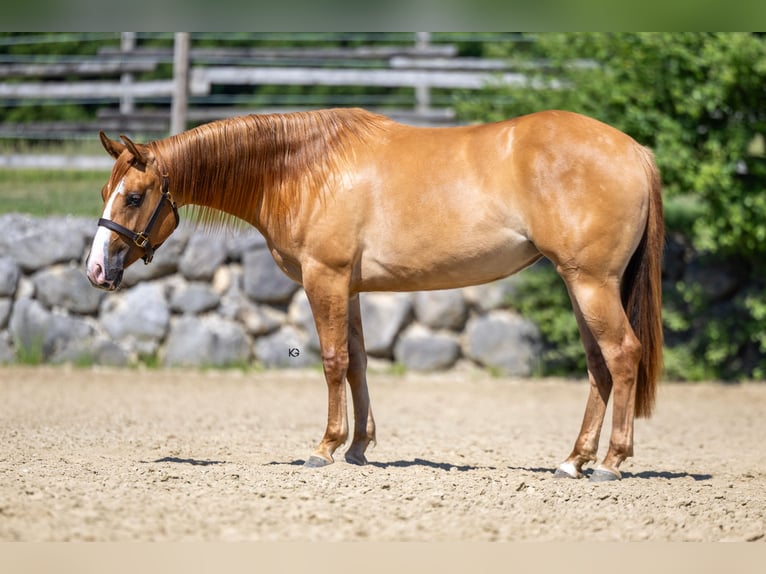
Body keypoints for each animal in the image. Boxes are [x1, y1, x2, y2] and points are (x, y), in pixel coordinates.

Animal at [85, 107, 663, 481]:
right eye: (106, 191)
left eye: (133, 197)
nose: (96, 269)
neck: (303, 168)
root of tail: (633, 150)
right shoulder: (351, 288)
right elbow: (359, 362)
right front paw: (359, 447)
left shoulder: (325, 278)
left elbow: (333, 360)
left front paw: (324, 448)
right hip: (580, 284)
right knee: (598, 365)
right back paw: (573, 460)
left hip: (590, 283)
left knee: (622, 355)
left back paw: (611, 463)